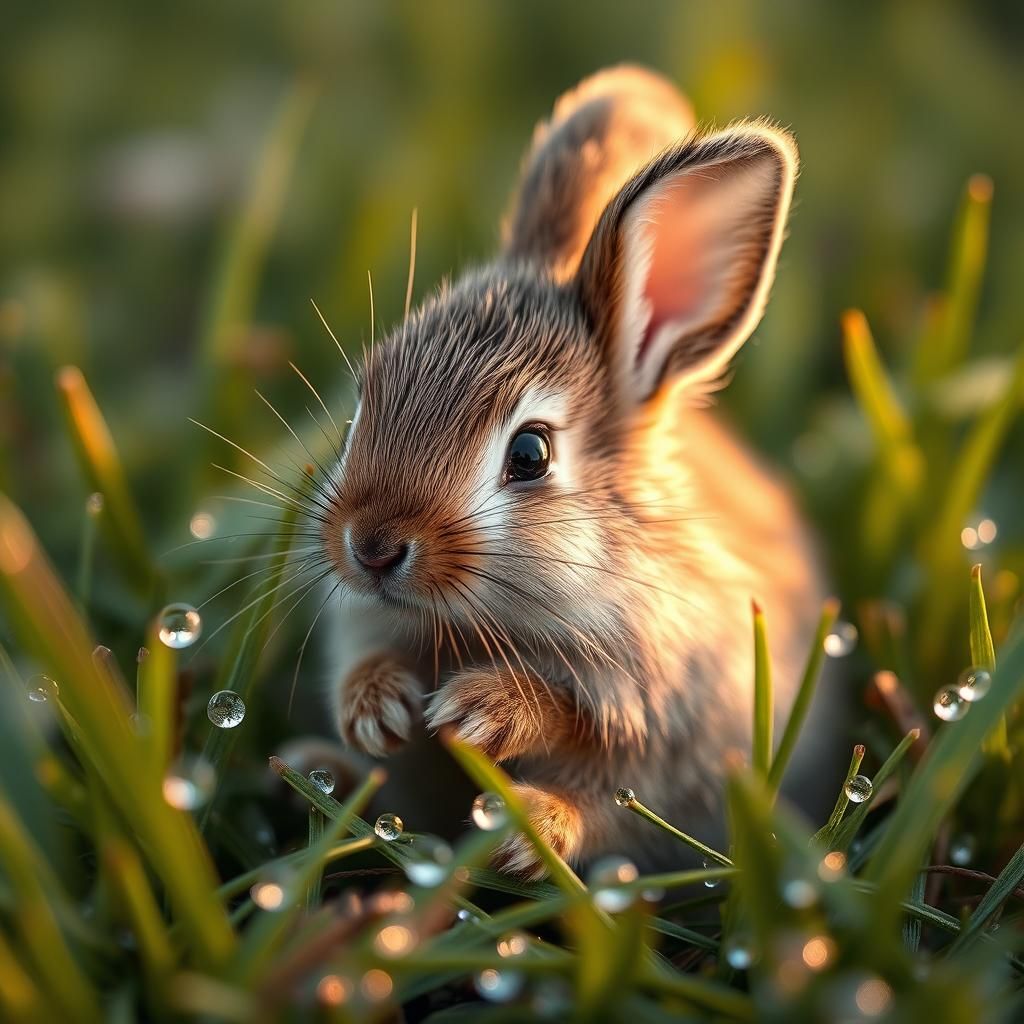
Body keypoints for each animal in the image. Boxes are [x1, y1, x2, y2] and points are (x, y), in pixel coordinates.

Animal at [318, 65, 835, 877]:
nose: (369, 548)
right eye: (356, 414)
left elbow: (587, 740)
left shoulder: (661, 711)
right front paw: (376, 709)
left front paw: (479, 712)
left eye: (530, 455)